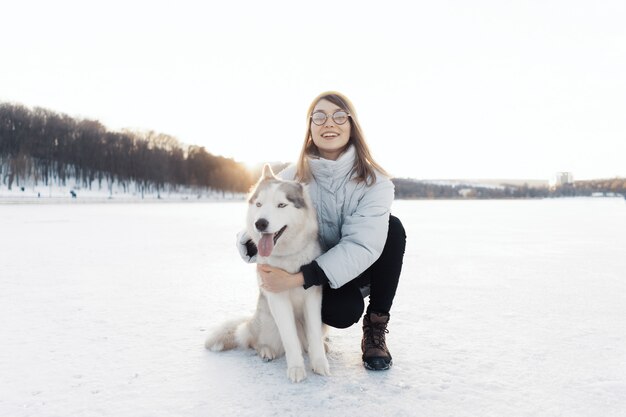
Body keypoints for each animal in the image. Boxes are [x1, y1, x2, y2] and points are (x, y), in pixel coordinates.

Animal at [206, 162, 332, 380]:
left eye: (281, 205)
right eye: (259, 205)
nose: (260, 223)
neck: (288, 258)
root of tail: (251, 321)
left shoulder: (313, 298)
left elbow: (314, 335)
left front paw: (319, 363)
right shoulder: (277, 299)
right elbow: (289, 338)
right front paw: (296, 368)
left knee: (308, 341)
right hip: (267, 322)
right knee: (254, 341)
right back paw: (266, 350)